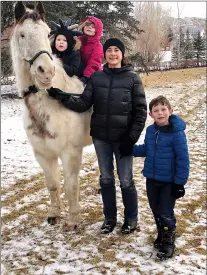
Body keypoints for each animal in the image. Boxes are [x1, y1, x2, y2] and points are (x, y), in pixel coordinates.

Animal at [10, 1, 91, 231]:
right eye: (22, 34)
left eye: (47, 33)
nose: (45, 71)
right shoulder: (43, 154)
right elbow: (53, 184)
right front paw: (55, 214)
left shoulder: (70, 153)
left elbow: (70, 185)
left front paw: (73, 220)